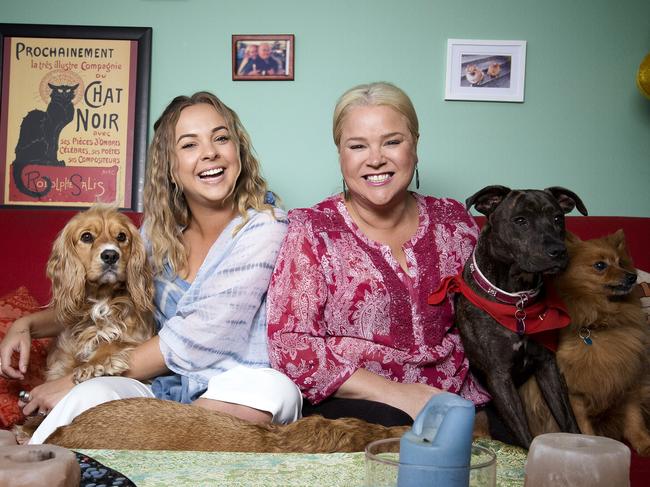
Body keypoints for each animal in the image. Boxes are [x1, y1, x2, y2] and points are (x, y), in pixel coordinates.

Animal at [45, 206, 154, 386]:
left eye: (121, 236)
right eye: (86, 236)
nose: (110, 255)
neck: (101, 298)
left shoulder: (136, 339)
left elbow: (115, 340)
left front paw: (95, 362)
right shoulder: (61, 363)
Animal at [428, 187, 584, 450]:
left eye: (557, 219)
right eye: (520, 221)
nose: (558, 251)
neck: (518, 300)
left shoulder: (547, 365)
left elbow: (569, 420)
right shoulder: (499, 375)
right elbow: (525, 435)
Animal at [520, 231, 648, 456]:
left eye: (621, 263)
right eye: (600, 265)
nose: (632, 276)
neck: (598, 323)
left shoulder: (627, 377)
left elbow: (634, 417)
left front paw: (644, 443)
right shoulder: (574, 393)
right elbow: (584, 429)